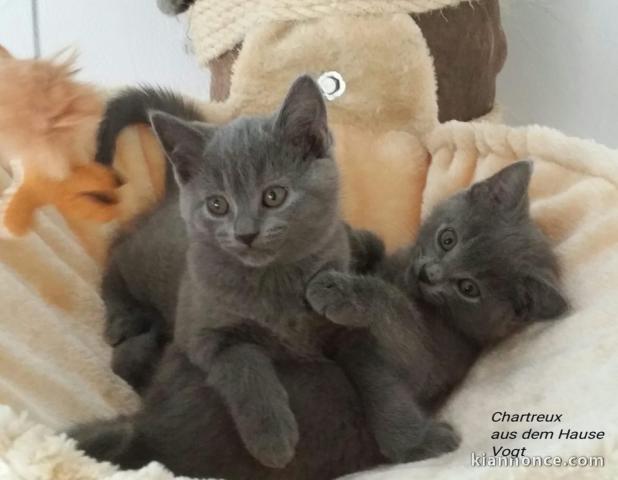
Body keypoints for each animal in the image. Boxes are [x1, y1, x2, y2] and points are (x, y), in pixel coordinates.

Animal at [304, 160, 568, 462]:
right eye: (447, 239)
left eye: (468, 288)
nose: (428, 274)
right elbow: (374, 244)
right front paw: (347, 236)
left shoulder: (432, 358)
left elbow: (396, 306)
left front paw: (337, 290)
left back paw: (426, 441)